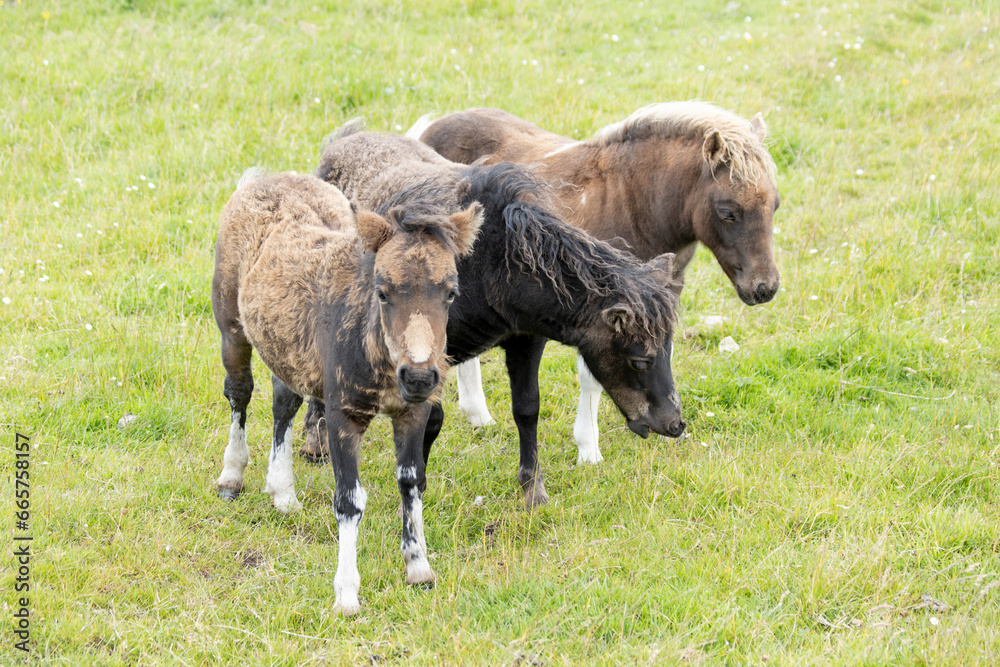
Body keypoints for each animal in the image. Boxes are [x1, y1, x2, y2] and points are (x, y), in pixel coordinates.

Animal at [211, 170, 483, 615]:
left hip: (291, 348)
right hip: (230, 325)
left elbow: (412, 481)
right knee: (240, 392)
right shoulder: (344, 415)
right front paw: (347, 593)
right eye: (383, 291)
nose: (419, 377)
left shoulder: (413, 412)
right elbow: (349, 499)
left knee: (284, 401)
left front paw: (418, 566)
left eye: (451, 292)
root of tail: (263, 176)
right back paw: (232, 474)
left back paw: (282, 491)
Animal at [300, 121, 684, 510]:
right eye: (640, 361)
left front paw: (532, 490)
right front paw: (416, 486)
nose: (675, 424)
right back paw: (315, 444)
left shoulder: (526, 340)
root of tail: (340, 142)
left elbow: (527, 409)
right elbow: (432, 419)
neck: (490, 262)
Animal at [411, 101, 781, 463]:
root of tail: (426, 131)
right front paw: (589, 449)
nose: (765, 288)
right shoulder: (600, 311)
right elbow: (593, 377)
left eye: (775, 205)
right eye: (727, 212)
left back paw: (478, 415)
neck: (636, 204)